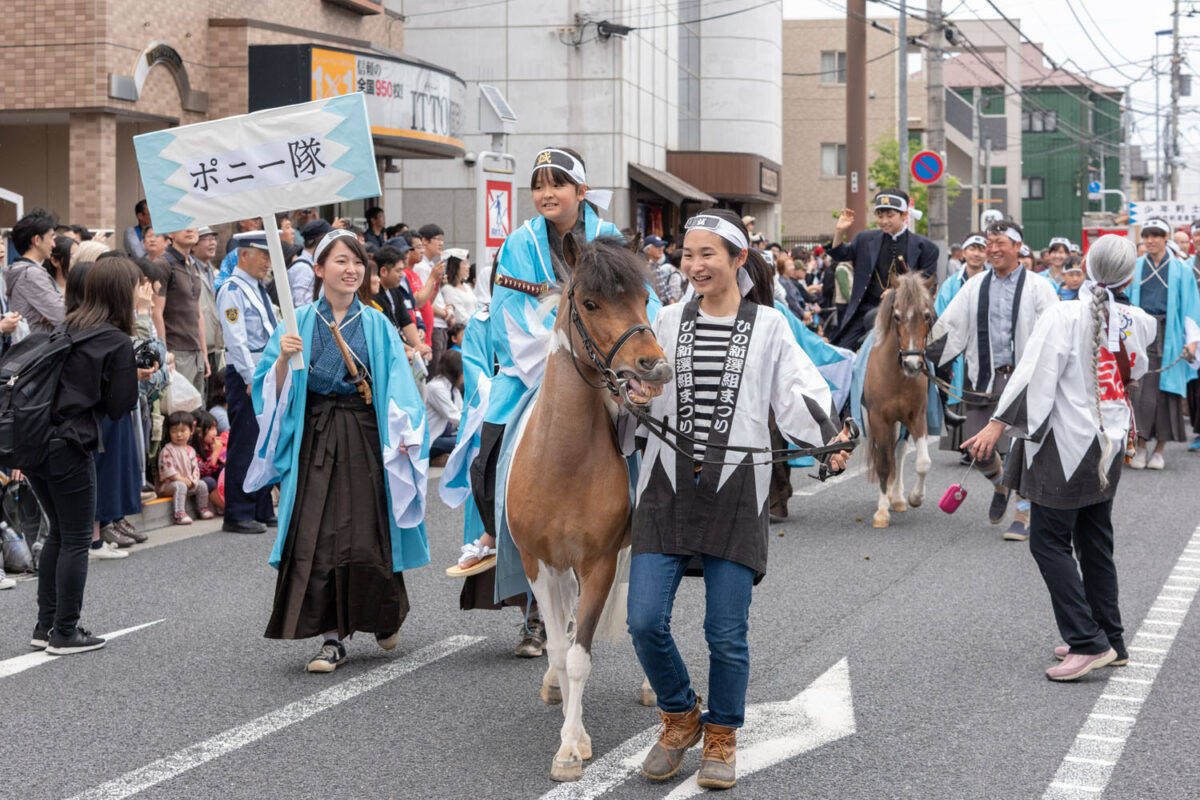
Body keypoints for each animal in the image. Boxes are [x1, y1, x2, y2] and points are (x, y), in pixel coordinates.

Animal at [506, 236, 676, 782]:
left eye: (645, 299)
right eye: (591, 303)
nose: (655, 366)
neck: (561, 459)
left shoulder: (599, 561)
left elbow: (581, 655)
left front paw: (569, 747)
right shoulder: (539, 561)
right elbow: (562, 651)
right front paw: (571, 735)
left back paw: (652, 685)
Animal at [864, 272, 936, 527]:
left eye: (927, 315)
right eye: (896, 316)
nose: (912, 365)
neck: (896, 375)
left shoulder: (917, 416)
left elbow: (923, 463)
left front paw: (915, 497)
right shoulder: (878, 419)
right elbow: (883, 464)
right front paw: (881, 512)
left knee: (899, 452)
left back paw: (897, 497)